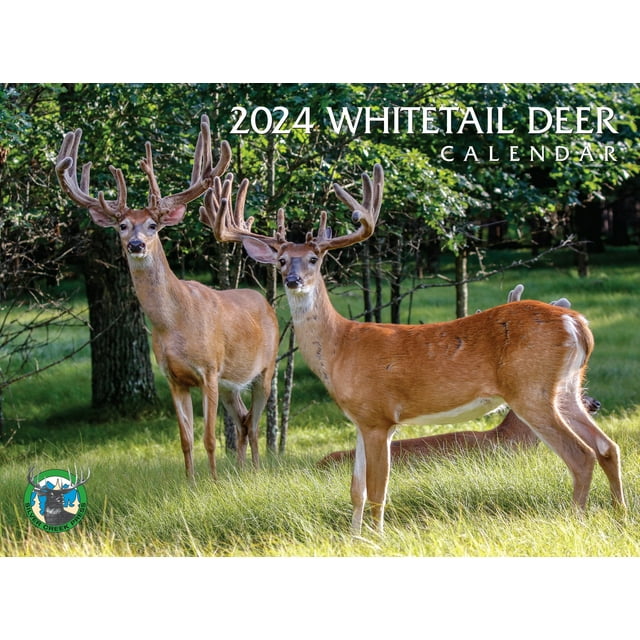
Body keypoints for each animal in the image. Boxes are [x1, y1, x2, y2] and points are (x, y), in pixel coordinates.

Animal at [55, 115, 280, 481]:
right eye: (121, 226)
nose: (136, 245)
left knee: (256, 422)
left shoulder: (209, 370)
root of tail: (264, 301)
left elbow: (209, 438)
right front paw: (191, 483)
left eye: (152, 225)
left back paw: (256, 471)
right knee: (243, 419)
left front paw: (212, 483)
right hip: (232, 383)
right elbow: (185, 439)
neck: (174, 323)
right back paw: (242, 471)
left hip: (266, 369)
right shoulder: (174, 378)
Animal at [199, 165, 625, 536]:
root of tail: (577, 323)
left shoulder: (379, 416)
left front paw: (376, 538)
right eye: (282, 259)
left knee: (580, 455)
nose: (292, 279)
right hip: (567, 387)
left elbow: (377, 491)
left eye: (315, 259)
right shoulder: (359, 419)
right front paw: (353, 539)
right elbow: (355, 490)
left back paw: (577, 520)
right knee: (608, 446)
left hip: (530, 388)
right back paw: (620, 516)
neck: (340, 348)